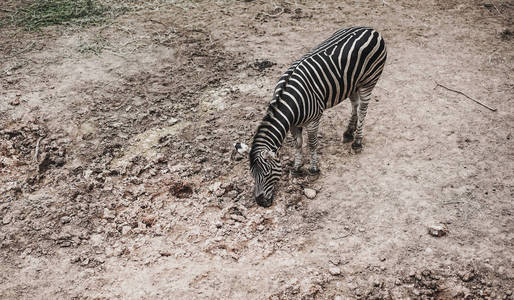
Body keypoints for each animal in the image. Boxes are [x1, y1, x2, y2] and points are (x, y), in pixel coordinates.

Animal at [235, 27, 384, 207]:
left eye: (267, 172)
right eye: (252, 173)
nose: (260, 202)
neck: (290, 105)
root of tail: (371, 29)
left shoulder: (313, 121)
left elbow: (312, 144)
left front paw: (313, 169)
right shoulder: (293, 124)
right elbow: (298, 144)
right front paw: (297, 168)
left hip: (369, 81)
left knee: (362, 109)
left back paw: (357, 142)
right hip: (352, 83)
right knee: (355, 105)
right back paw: (349, 132)